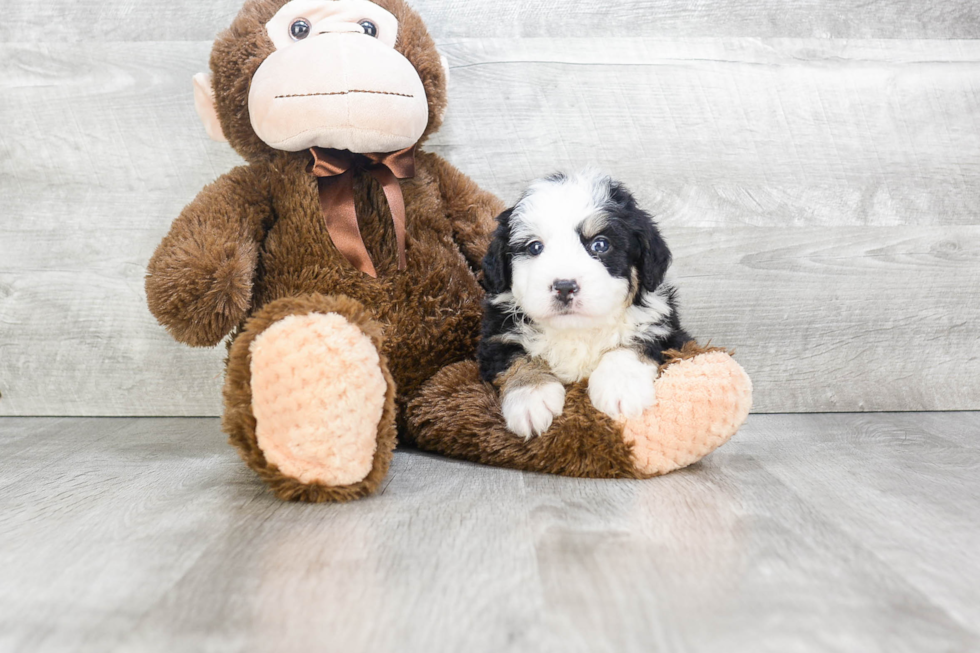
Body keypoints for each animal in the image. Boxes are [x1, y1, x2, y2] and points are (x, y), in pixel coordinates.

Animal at [474, 171, 688, 440]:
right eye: (535, 247)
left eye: (600, 244)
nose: (565, 286)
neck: (576, 330)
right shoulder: (496, 335)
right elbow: (516, 357)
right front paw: (530, 396)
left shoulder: (667, 330)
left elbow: (634, 344)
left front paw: (620, 386)